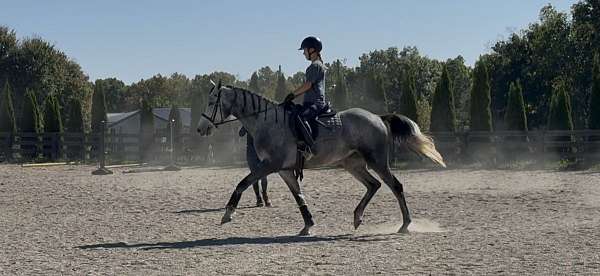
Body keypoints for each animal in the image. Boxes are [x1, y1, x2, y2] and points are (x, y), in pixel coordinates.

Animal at [198, 82, 446, 235]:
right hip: (352, 163)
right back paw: (357, 217)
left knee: (396, 186)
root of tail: (377, 117)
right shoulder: (284, 169)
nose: (201, 128)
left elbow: (243, 183)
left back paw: (405, 224)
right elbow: (298, 196)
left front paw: (228, 213)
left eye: (211, 102)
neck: (267, 122)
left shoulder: (270, 165)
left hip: (376, 161)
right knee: (373, 185)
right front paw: (308, 225)